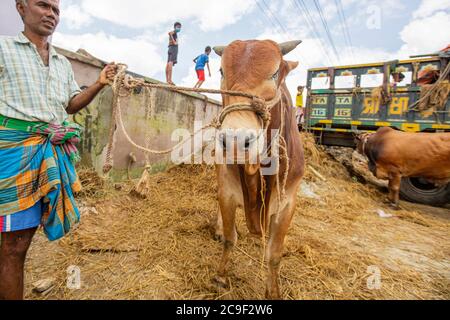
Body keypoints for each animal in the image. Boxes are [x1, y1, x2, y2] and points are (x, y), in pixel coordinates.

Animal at [212, 40, 304, 300]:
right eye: (222, 71)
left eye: (274, 73)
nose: (235, 140)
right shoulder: (227, 190)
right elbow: (230, 239)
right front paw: (221, 276)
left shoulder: (287, 202)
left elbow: (274, 255)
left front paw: (273, 292)